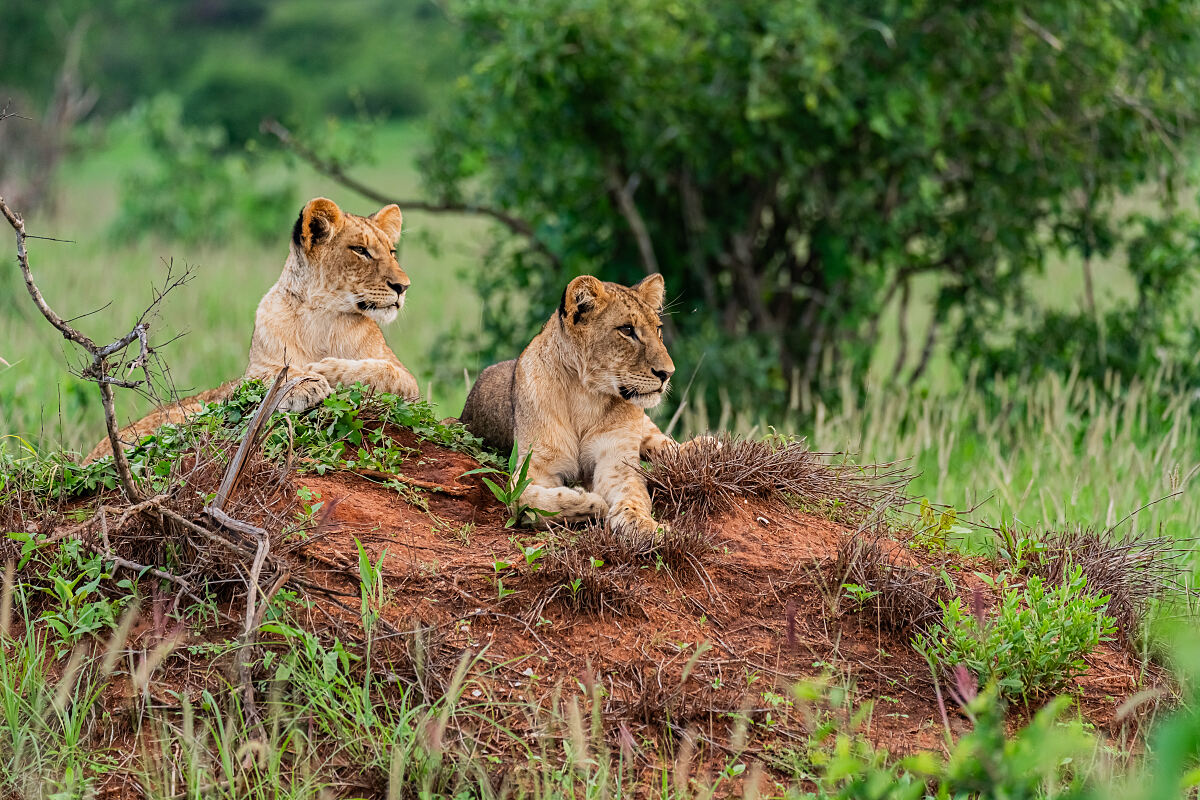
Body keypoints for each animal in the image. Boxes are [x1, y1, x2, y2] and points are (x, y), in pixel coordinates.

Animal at [84, 195, 417, 462]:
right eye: (360, 250)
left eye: (392, 252)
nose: (403, 287)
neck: (323, 315)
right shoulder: (250, 374)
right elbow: (266, 376)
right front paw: (307, 383)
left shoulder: (409, 383)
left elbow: (383, 372)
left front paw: (326, 369)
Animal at [458, 271, 686, 537]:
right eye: (627, 330)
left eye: (658, 329)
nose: (668, 373)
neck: (585, 396)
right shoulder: (536, 464)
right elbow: (524, 498)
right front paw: (589, 501)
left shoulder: (616, 461)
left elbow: (634, 495)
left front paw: (645, 526)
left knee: (666, 444)